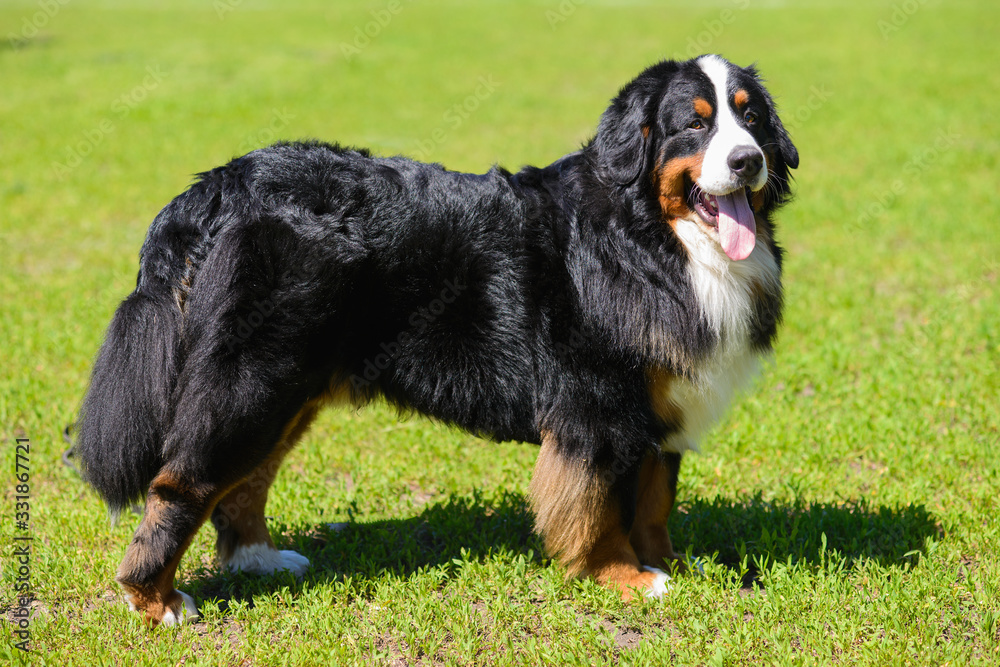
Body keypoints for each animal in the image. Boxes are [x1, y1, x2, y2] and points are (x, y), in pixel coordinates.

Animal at [76, 52, 796, 628]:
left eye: (752, 118)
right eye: (694, 124)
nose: (747, 160)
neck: (653, 240)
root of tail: (220, 185)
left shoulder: (661, 402)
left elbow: (653, 500)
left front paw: (672, 563)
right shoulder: (597, 408)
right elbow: (601, 510)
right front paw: (624, 576)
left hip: (288, 381)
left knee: (247, 480)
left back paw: (258, 557)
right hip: (249, 381)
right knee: (184, 482)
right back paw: (155, 599)